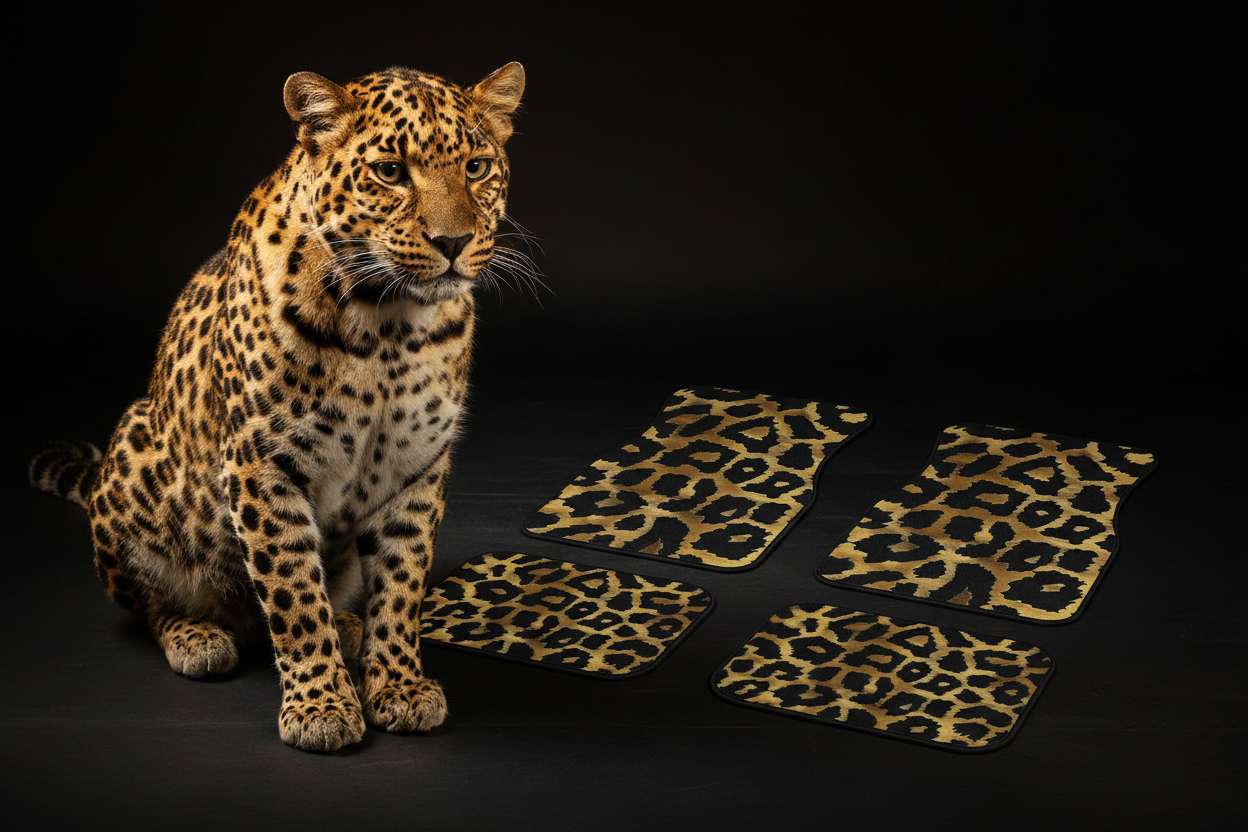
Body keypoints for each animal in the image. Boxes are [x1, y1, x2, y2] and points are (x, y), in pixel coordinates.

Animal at [28, 62, 526, 752]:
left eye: (477, 167)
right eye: (391, 172)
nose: (453, 241)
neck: (390, 326)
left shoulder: (416, 470)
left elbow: (401, 587)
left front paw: (397, 685)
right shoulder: (264, 465)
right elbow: (292, 592)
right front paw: (321, 707)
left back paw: (351, 630)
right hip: (134, 453)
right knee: (151, 604)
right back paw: (199, 636)